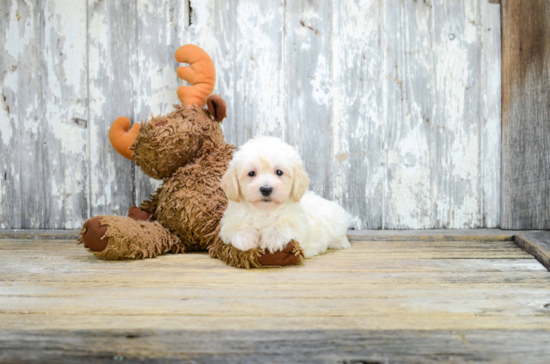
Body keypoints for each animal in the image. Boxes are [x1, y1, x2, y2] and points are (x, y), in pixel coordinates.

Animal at [219, 135, 352, 258]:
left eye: (279, 172)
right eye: (251, 173)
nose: (266, 189)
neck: (264, 210)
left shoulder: (298, 223)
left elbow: (284, 222)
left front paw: (273, 237)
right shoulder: (228, 223)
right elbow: (236, 226)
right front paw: (245, 237)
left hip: (337, 224)